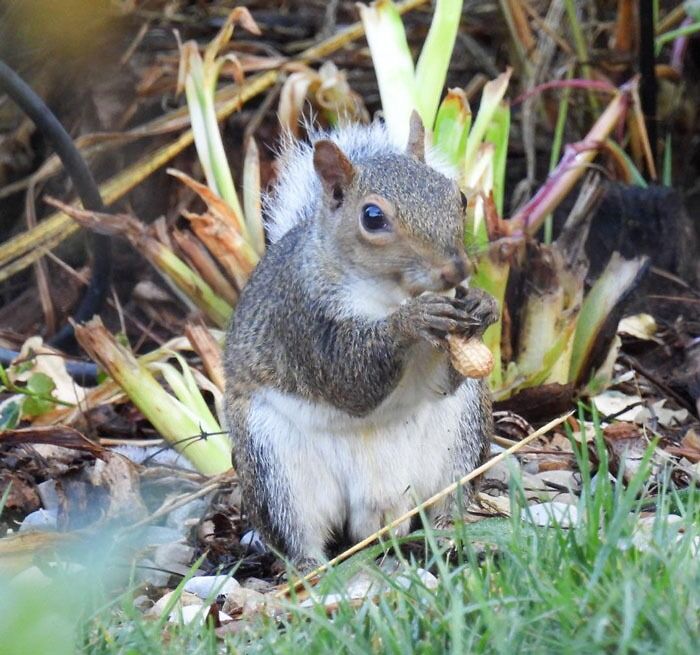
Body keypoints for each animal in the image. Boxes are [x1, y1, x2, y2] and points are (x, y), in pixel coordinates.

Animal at [224, 113, 498, 568]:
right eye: (372, 217)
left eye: (457, 196)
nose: (456, 270)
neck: (389, 293)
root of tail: (381, 511)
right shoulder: (305, 322)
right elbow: (350, 379)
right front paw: (410, 321)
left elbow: (444, 380)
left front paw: (484, 304)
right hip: (273, 465)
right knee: (296, 533)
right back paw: (311, 570)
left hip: (461, 436)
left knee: (448, 499)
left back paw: (450, 536)